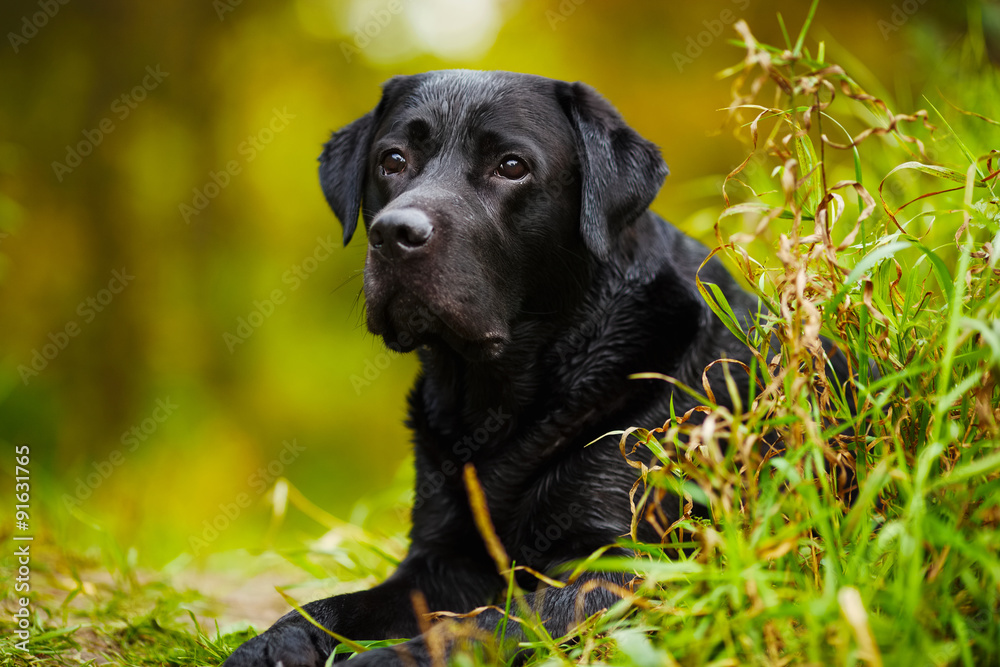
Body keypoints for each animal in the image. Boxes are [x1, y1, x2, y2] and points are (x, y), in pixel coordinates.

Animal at [225, 70, 756, 664]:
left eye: (511, 165)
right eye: (392, 159)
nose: (395, 232)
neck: (496, 398)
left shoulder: (626, 566)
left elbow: (492, 620)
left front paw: (385, 657)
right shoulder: (440, 560)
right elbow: (332, 605)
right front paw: (269, 644)